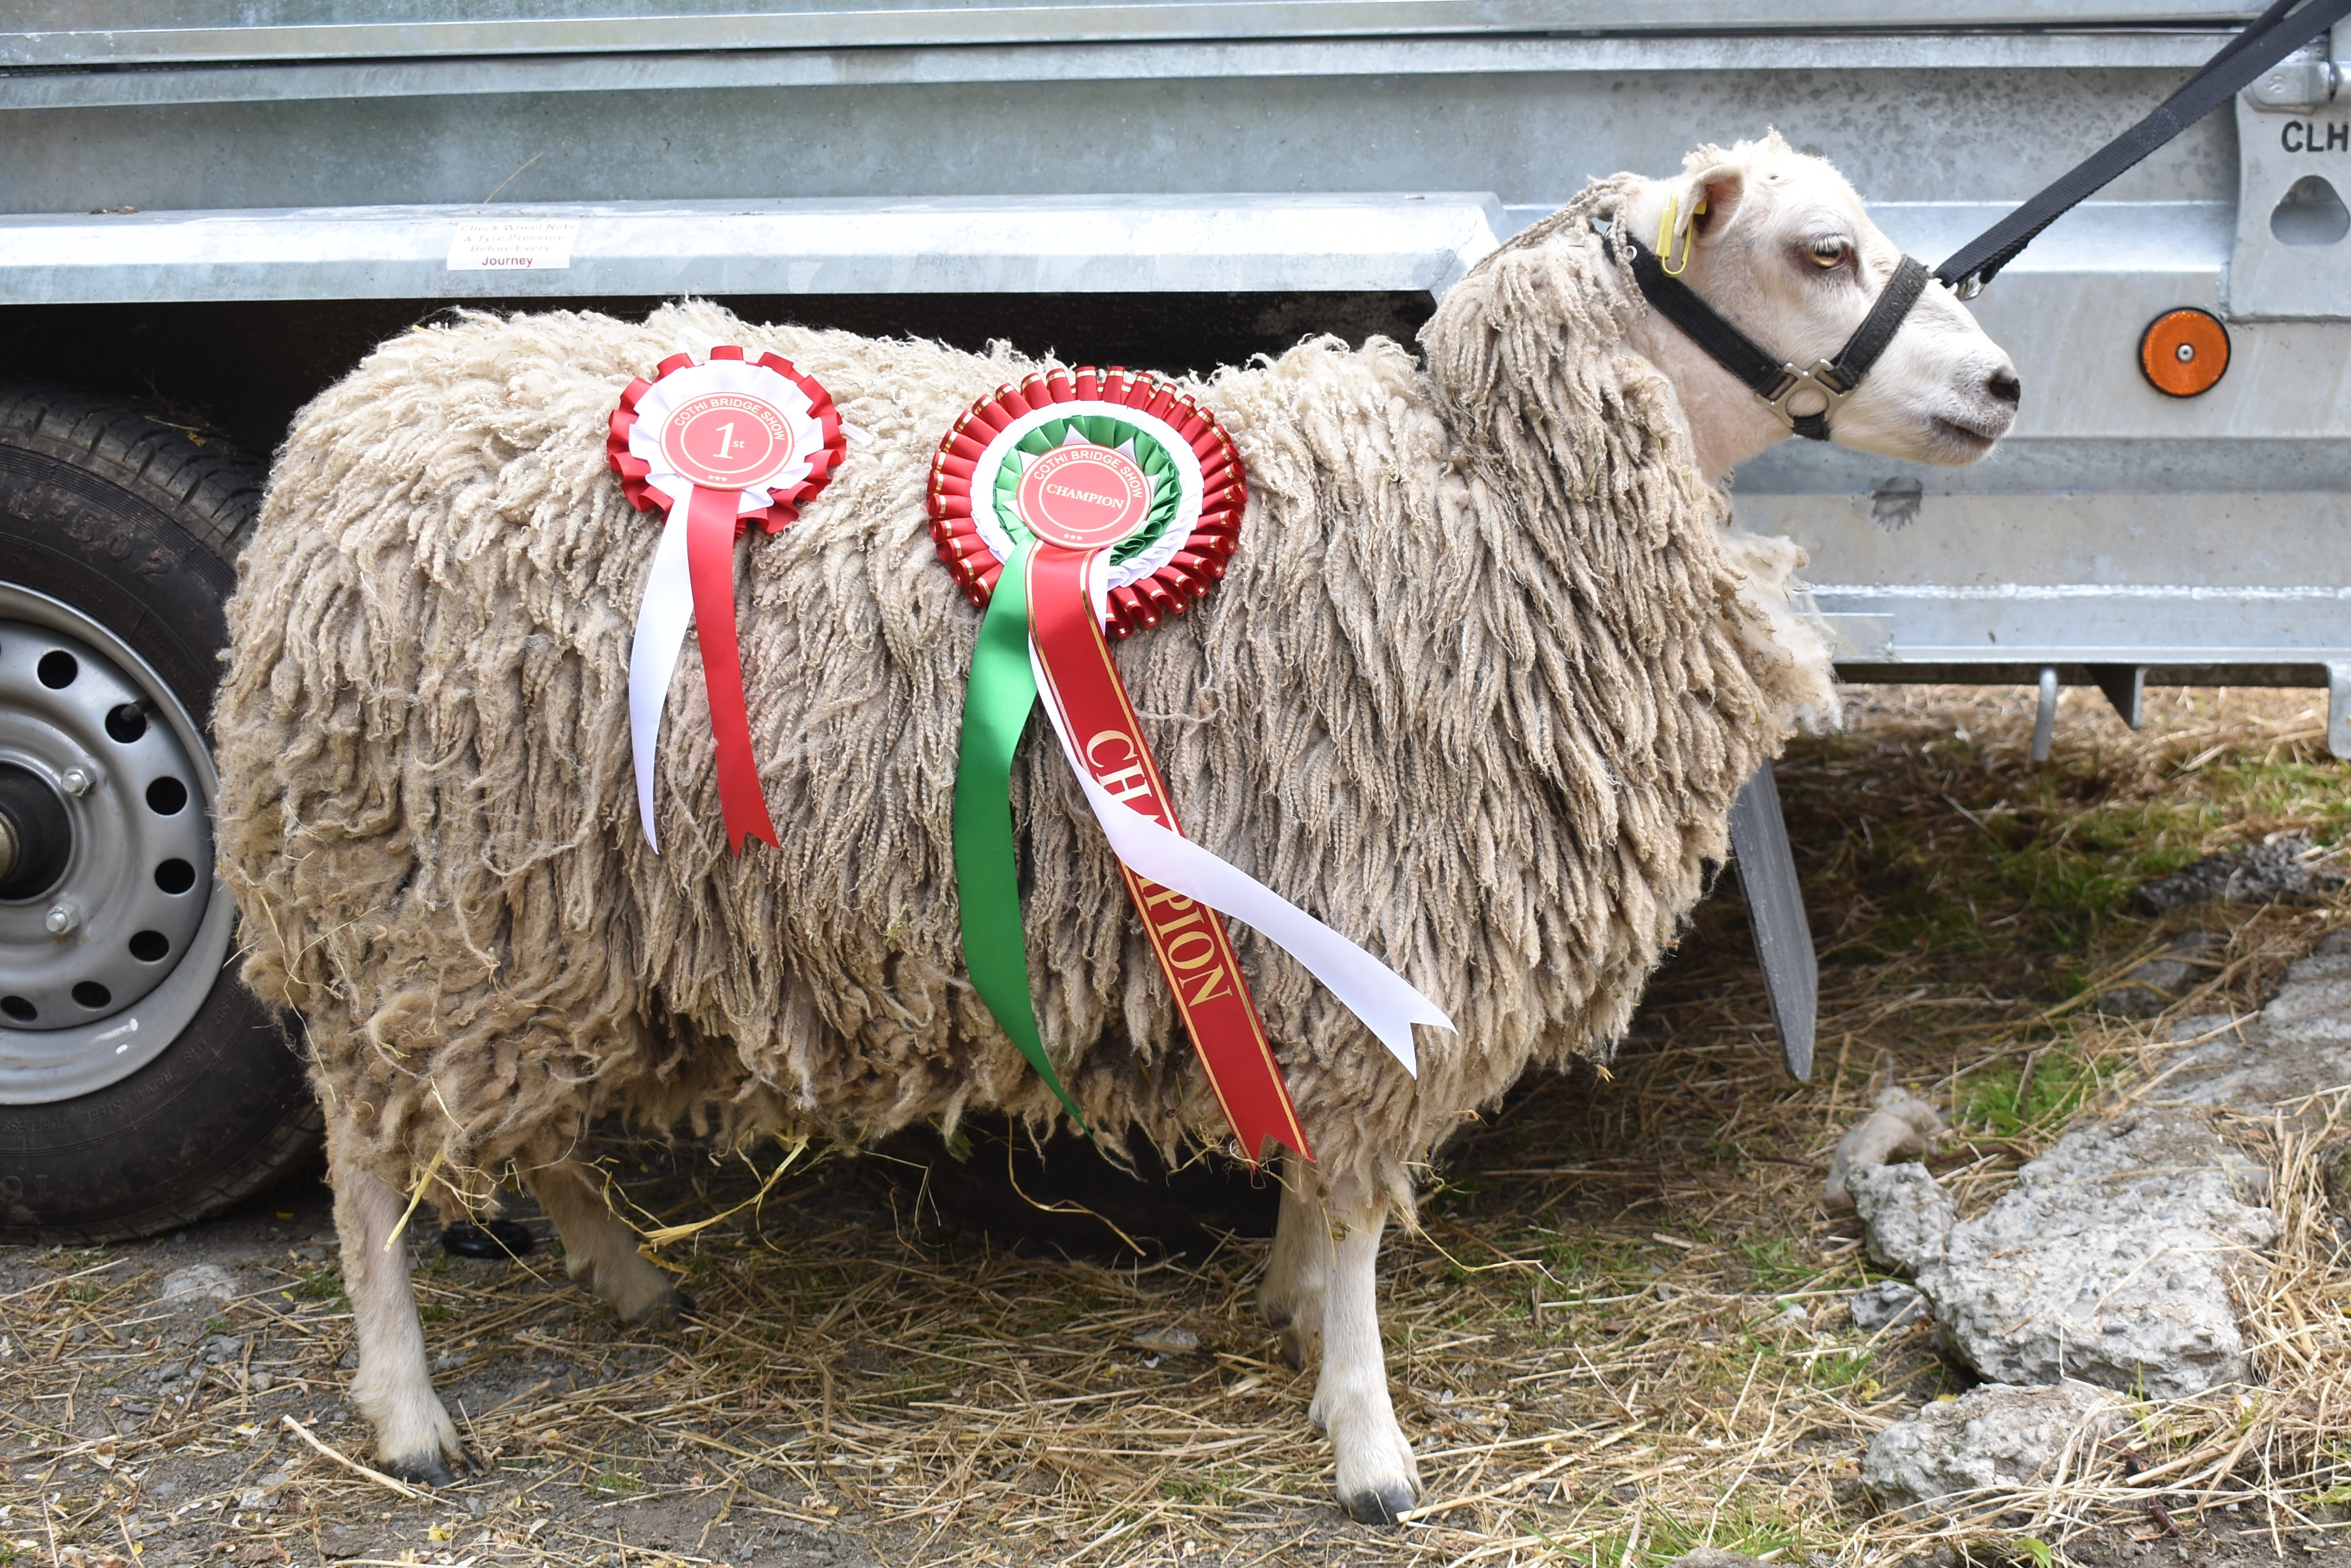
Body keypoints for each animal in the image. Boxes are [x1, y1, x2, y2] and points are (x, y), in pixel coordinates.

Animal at [213, 133, 2019, 1522]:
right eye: (1823, 249)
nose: (2002, 384)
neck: (1497, 496)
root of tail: (348, 422)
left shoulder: (1301, 926)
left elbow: (1311, 1175)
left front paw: (1290, 1312)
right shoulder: (1370, 905)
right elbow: (1356, 1203)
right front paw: (1368, 1440)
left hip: (534, 908)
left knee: (516, 1109)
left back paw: (623, 1270)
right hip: (409, 882)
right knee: (366, 1153)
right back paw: (407, 1411)